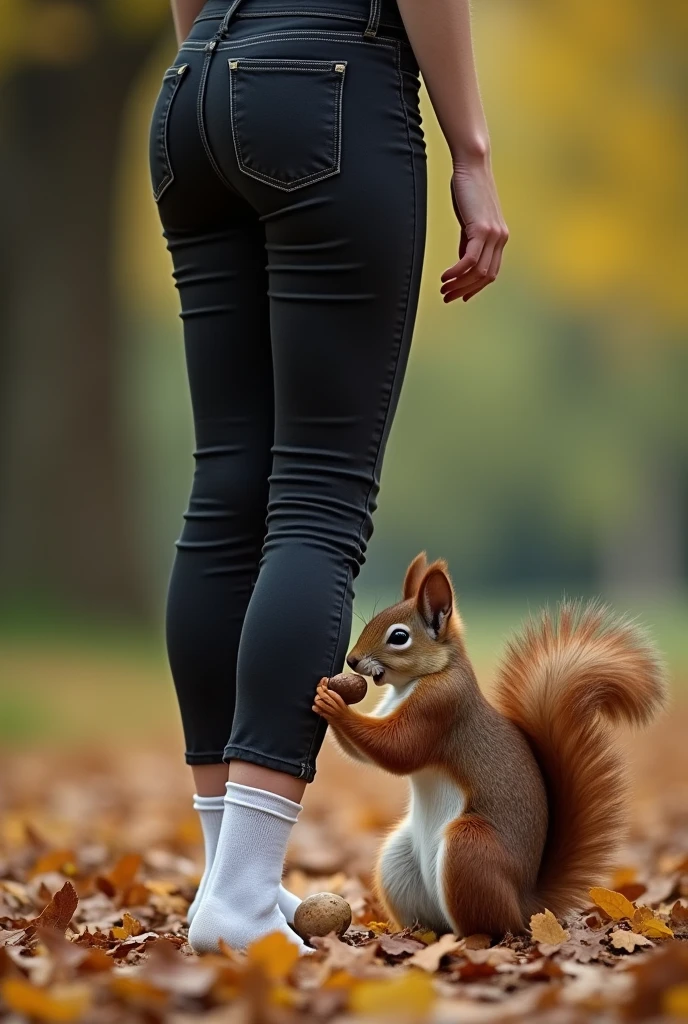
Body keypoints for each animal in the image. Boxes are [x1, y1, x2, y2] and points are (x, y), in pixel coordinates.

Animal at [315, 552, 667, 937]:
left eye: (399, 636)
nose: (352, 661)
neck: (418, 680)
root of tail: (524, 905)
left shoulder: (442, 707)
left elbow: (398, 749)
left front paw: (335, 705)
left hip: (469, 847)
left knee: (486, 927)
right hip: (398, 861)